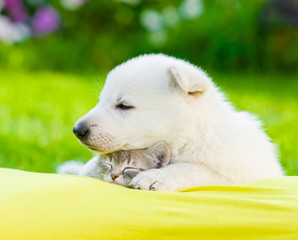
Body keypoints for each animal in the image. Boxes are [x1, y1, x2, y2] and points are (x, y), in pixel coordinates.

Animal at [72, 54, 284, 191]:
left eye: (124, 105)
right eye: (100, 100)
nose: (77, 130)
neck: (189, 136)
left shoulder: (241, 177)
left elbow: (197, 169)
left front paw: (156, 176)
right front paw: (89, 168)